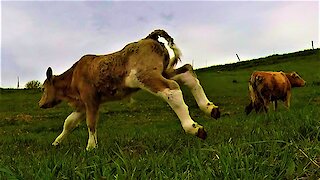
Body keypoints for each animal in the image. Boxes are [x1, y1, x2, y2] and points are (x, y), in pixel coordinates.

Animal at [38, 29, 220, 150]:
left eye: (43, 88)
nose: (40, 104)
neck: (74, 76)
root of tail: (148, 38)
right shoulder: (83, 104)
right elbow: (69, 122)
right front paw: (56, 142)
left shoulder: (90, 100)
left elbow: (91, 123)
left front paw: (91, 147)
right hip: (165, 71)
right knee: (188, 74)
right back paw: (210, 108)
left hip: (146, 76)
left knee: (172, 90)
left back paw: (193, 127)